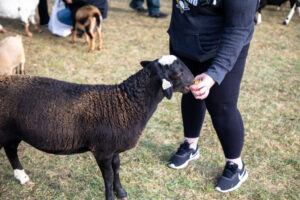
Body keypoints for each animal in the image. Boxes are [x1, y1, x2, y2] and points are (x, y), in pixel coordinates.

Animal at [0, 55, 195, 200]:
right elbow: (108, 177)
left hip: (14, 132)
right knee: (10, 148)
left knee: (10, 149)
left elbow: (117, 168)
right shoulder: (102, 151)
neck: (127, 102)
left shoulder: (113, 147)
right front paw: (111, 196)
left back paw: (22, 177)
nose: (194, 81)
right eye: (178, 72)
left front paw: (121, 192)